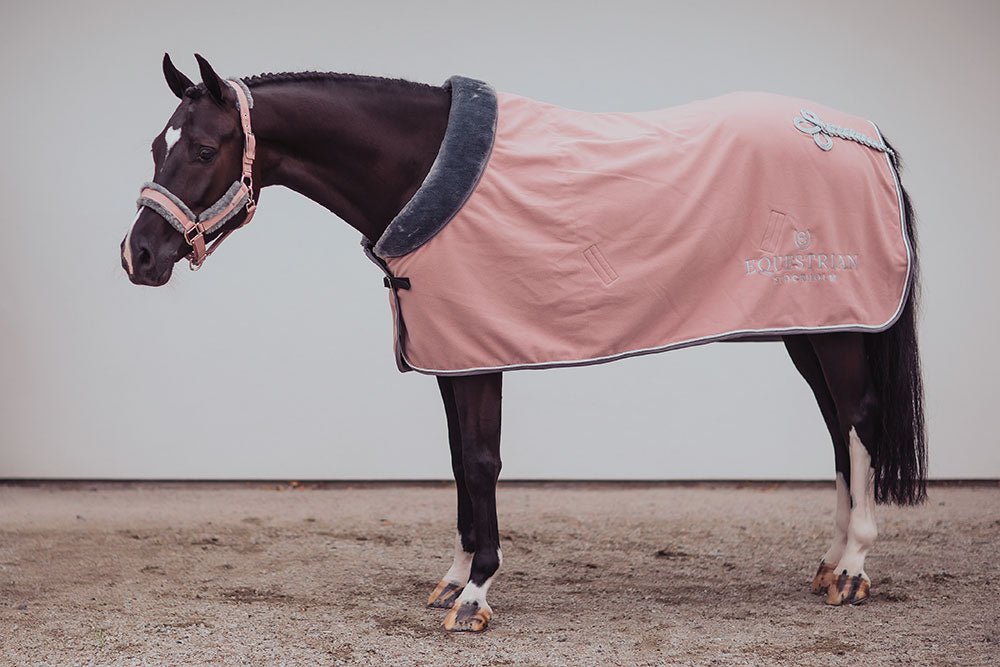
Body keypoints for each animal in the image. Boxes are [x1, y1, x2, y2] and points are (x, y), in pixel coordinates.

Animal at [121, 54, 926, 632]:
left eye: (203, 147)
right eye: (158, 143)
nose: (139, 255)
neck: (424, 170)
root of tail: (862, 136)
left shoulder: (480, 354)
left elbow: (481, 461)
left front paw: (476, 594)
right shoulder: (453, 351)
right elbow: (458, 461)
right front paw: (454, 576)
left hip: (837, 326)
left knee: (858, 418)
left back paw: (853, 568)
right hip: (809, 325)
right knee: (838, 427)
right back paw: (828, 562)